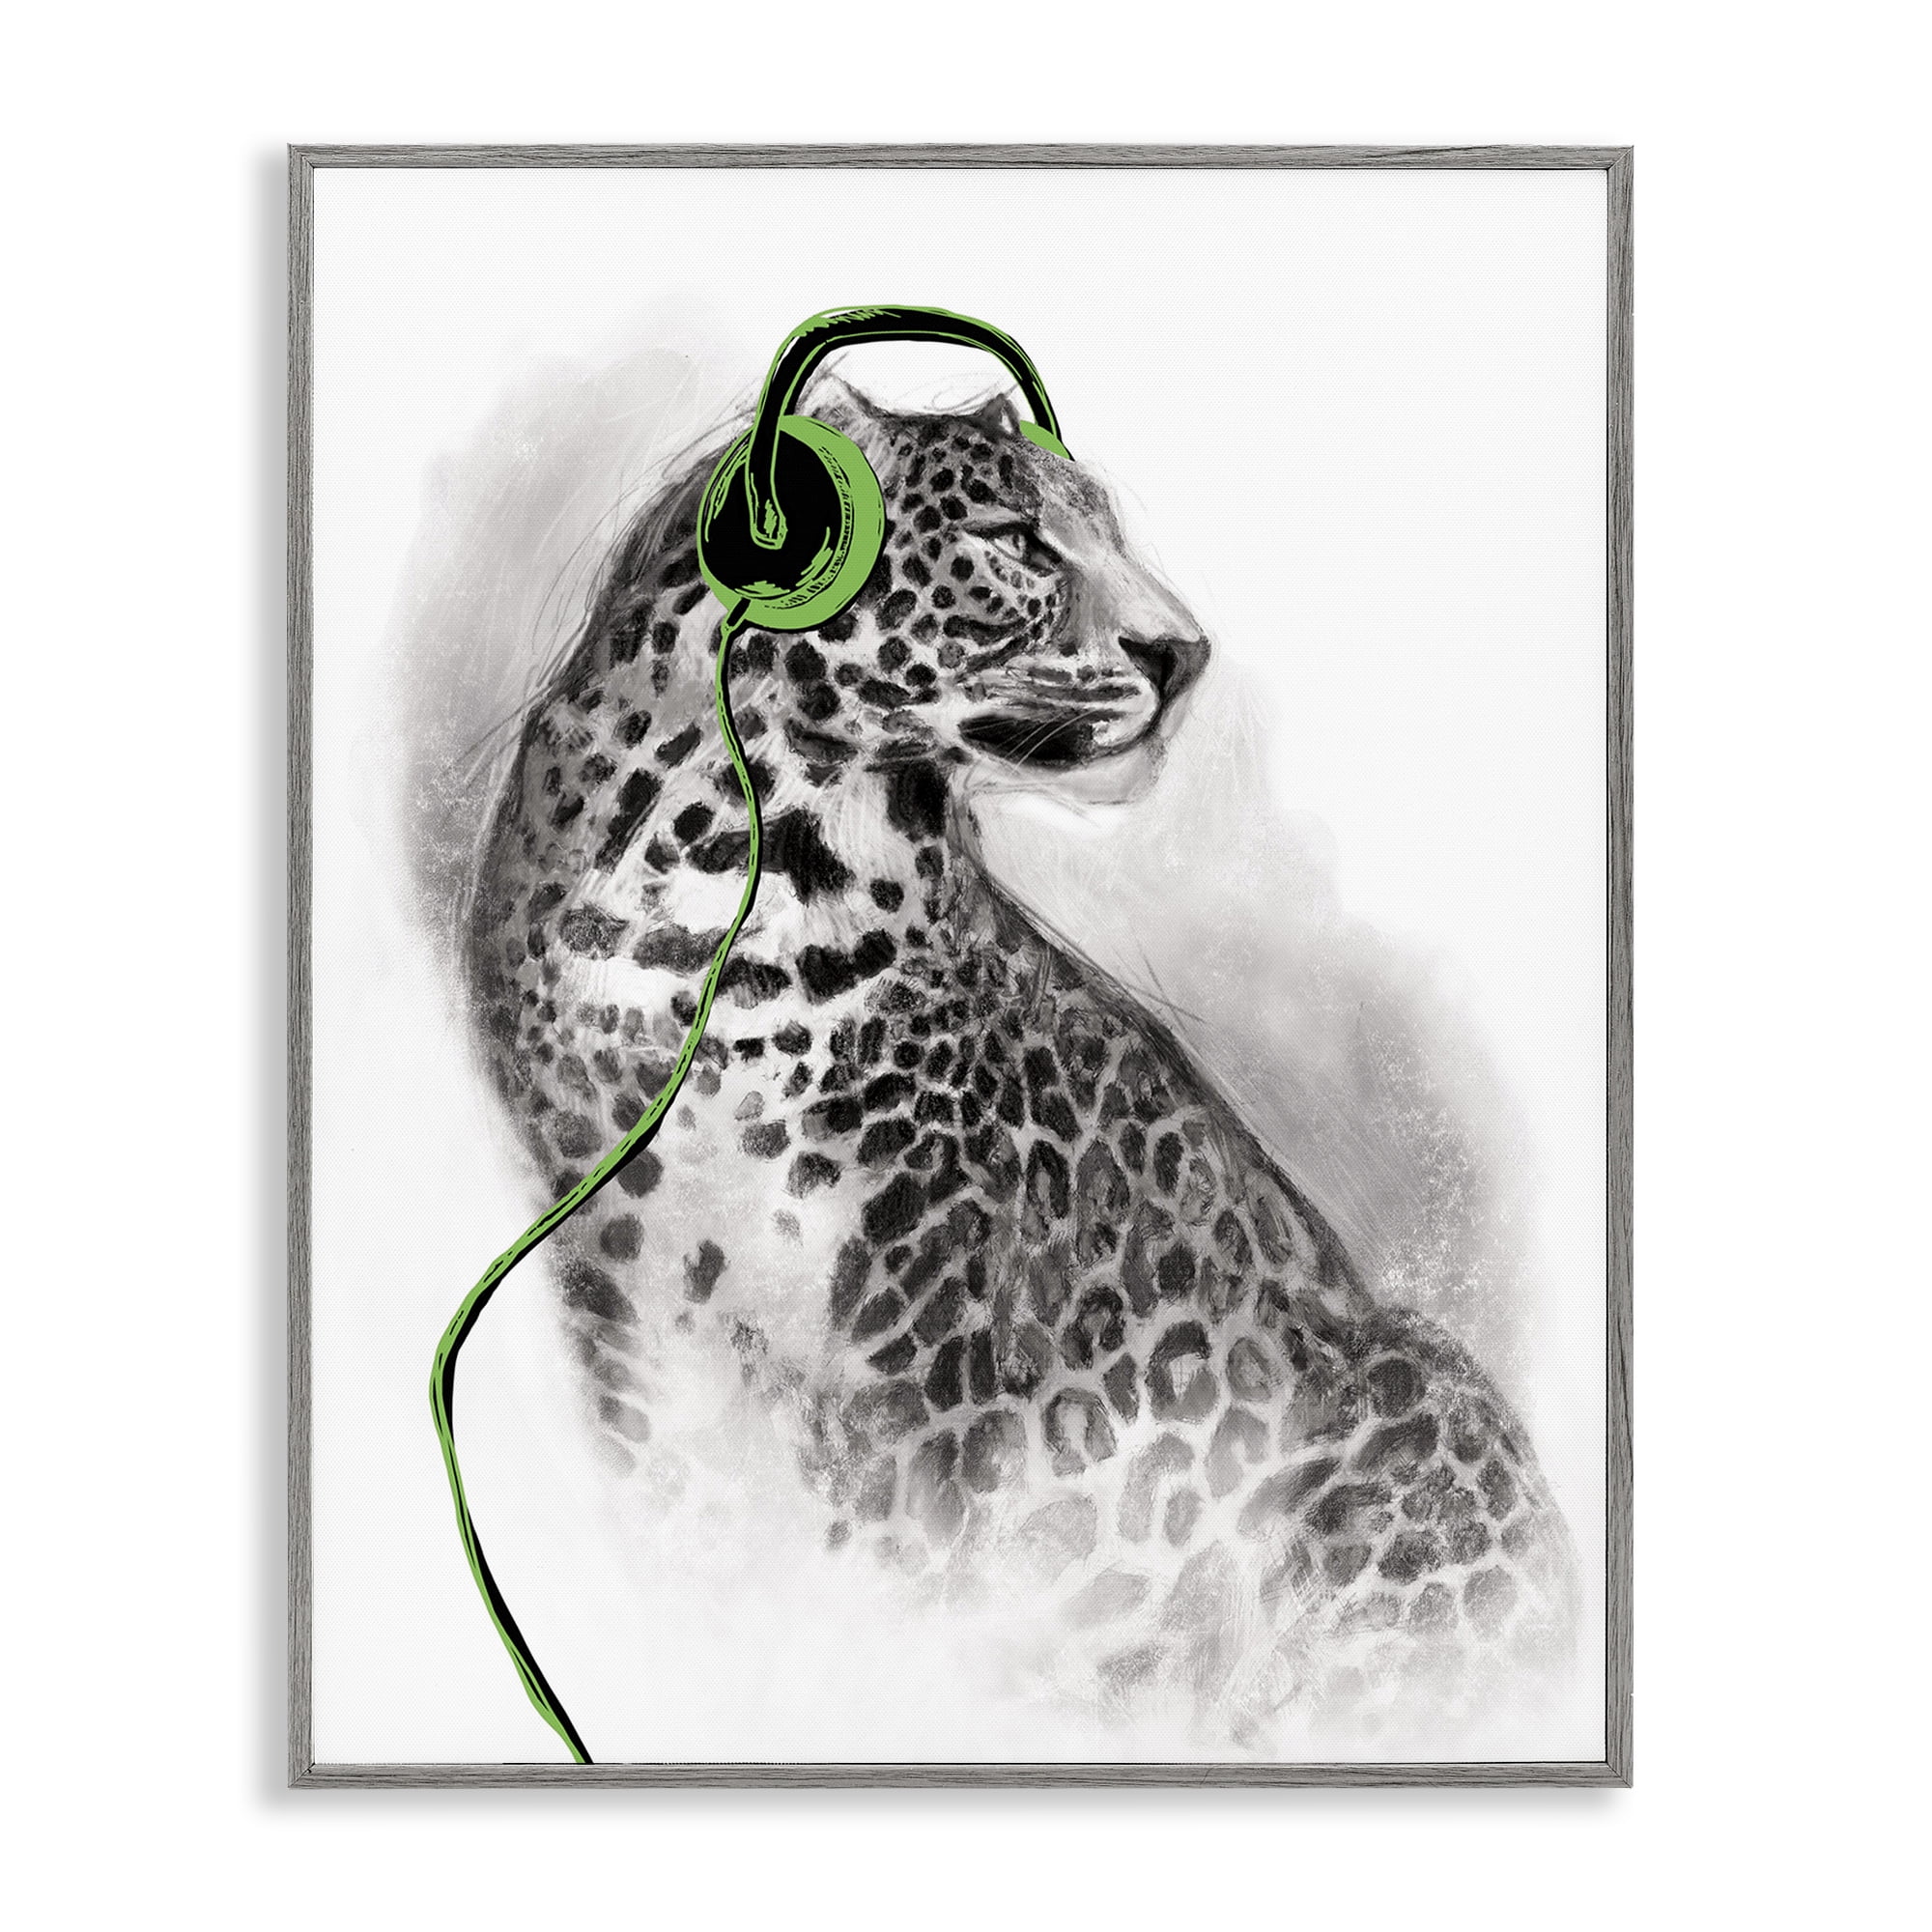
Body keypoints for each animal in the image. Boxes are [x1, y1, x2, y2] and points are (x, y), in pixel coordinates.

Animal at [458, 375, 1579, 1750]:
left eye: (1106, 530)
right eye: (1013, 537)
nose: (1183, 652)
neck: (733, 869)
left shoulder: (920, 1327)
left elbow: (881, 1583)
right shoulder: (609, 1285)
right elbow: (682, 1525)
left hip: (1413, 1403)